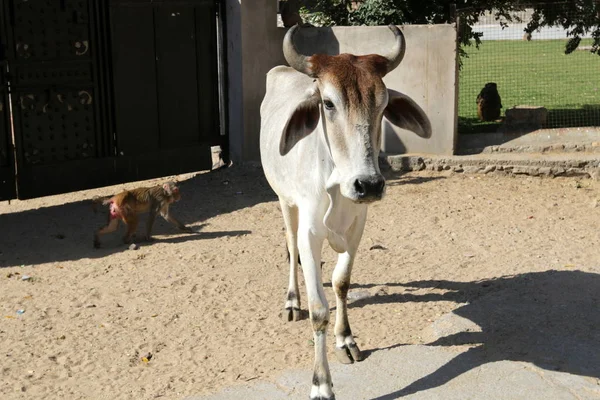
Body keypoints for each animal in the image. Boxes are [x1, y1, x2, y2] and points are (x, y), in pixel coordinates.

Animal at [260, 25, 428, 400]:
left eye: (383, 104)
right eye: (328, 102)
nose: (368, 185)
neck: (336, 181)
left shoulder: (356, 229)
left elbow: (341, 283)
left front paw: (346, 339)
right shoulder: (309, 232)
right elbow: (319, 309)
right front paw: (321, 383)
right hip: (284, 201)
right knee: (290, 248)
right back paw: (292, 301)